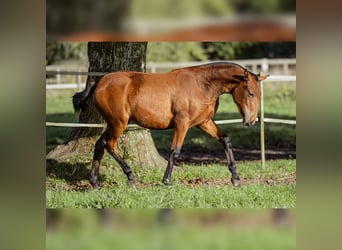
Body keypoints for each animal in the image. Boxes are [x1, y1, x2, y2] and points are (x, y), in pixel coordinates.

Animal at [73, 62, 268, 188]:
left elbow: (225, 140)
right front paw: (166, 181)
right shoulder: (182, 123)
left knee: (100, 144)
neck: (202, 84)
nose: (251, 121)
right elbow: (175, 151)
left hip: (112, 124)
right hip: (119, 123)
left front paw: (235, 178)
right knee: (109, 144)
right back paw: (130, 176)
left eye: (260, 94)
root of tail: (100, 82)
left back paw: (95, 183)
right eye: (250, 93)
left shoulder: (204, 123)